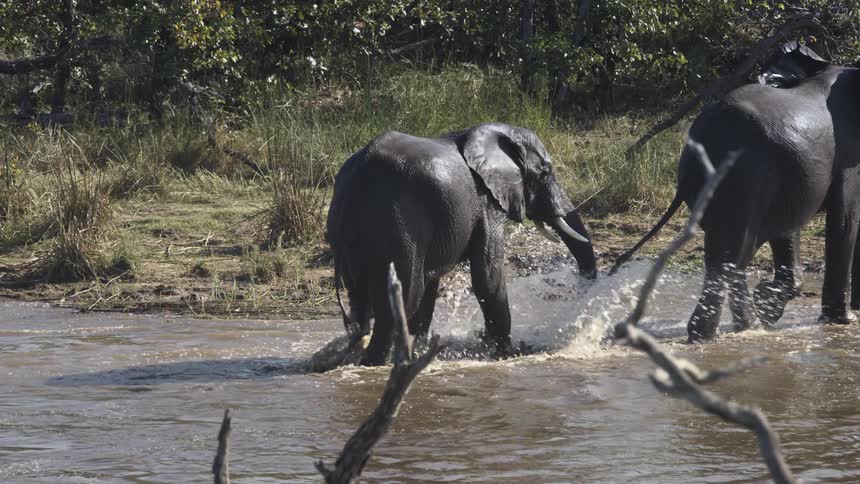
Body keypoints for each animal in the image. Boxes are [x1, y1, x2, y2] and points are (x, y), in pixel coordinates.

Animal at [326, 123, 597, 365]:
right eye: (544, 173)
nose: (582, 290)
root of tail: (357, 176)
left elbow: (431, 285)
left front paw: (424, 349)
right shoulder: (486, 202)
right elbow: (487, 276)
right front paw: (505, 354)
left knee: (363, 300)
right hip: (396, 220)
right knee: (404, 297)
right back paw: (376, 364)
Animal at [611, 42, 860, 342]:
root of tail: (705, 131)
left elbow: (788, 230)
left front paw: (768, 304)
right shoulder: (848, 155)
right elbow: (844, 220)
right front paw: (841, 321)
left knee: (726, 251)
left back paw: (747, 326)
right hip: (743, 175)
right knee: (733, 253)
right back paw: (712, 335)